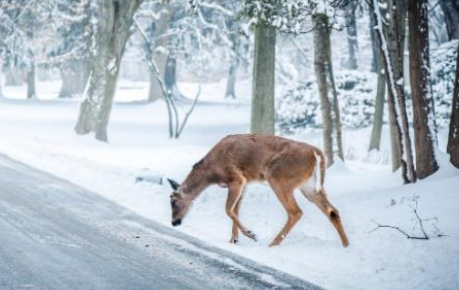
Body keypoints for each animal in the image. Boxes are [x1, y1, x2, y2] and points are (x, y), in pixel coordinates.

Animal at [167, 134, 350, 247]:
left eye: (173, 202)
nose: (174, 222)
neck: (211, 173)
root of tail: (315, 153)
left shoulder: (237, 178)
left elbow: (228, 209)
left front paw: (250, 234)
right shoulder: (245, 183)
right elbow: (236, 210)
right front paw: (234, 240)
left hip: (278, 177)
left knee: (295, 211)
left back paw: (272, 243)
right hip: (309, 186)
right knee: (332, 211)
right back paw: (346, 244)